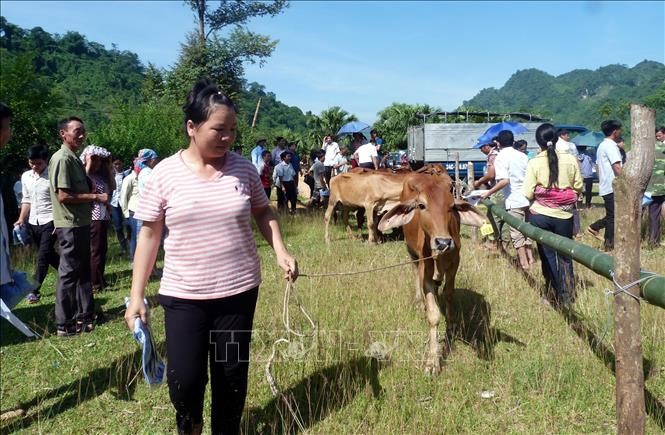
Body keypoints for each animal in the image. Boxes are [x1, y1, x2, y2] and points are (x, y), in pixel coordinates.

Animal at [378, 173, 482, 374]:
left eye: (452, 206)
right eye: (421, 205)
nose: (443, 242)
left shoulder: (454, 264)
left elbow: (449, 294)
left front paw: (451, 326)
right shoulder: (424, 269)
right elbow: (433, 315)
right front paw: (432, 361)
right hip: (412, 254)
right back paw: (420, 302)